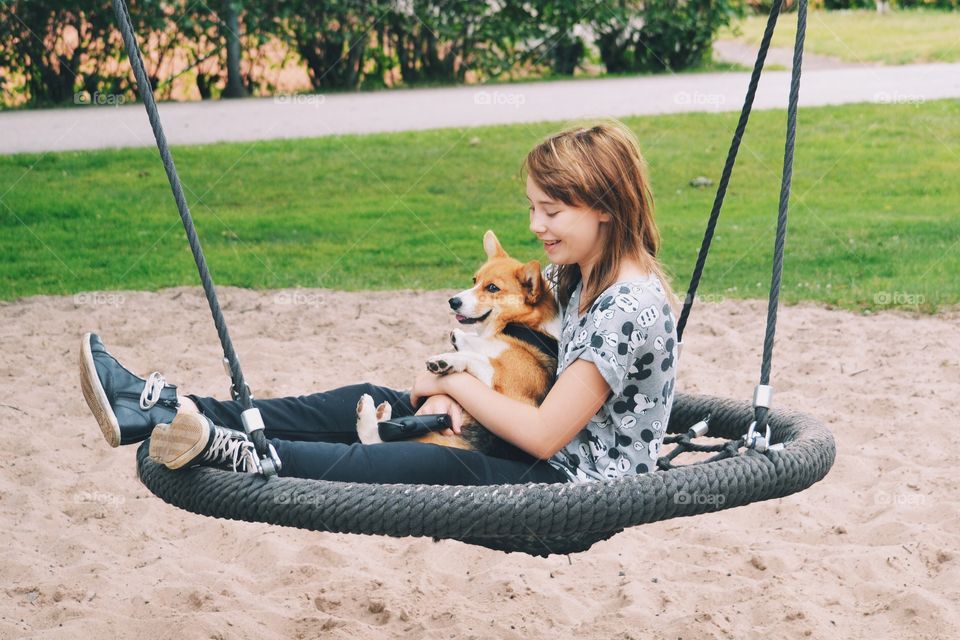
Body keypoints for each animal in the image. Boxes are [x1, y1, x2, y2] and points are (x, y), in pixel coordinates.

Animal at [356, 230, 560, 460]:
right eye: (474, 280)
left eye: (492, 288)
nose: (452, 301)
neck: (517, 326)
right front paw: (459, 339)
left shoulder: (513, 395)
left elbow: (478, 358)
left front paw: (446, 360)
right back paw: (380, 413)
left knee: (374, 440)